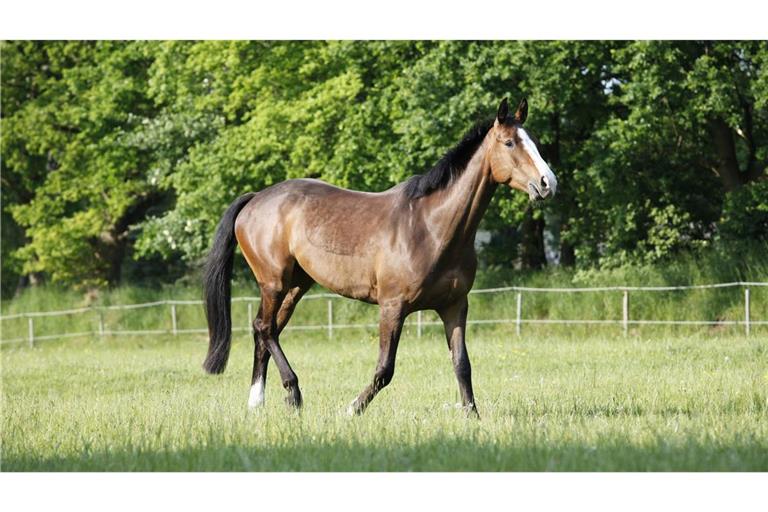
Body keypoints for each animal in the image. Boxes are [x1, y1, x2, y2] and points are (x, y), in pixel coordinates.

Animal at [201, 99, 556, 416]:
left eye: (535, 142)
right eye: (509, 142)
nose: (547, 183)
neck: (431, 226)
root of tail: (255, 199)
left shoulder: (454, 306)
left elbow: (462, 364)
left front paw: (472, 416)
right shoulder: (392, 306)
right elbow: (385, 369)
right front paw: (352, 409)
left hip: (295, 286)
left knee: (267, 331)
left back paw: (259, 403)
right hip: (273, 282)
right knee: (263, 328)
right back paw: (292, 393)